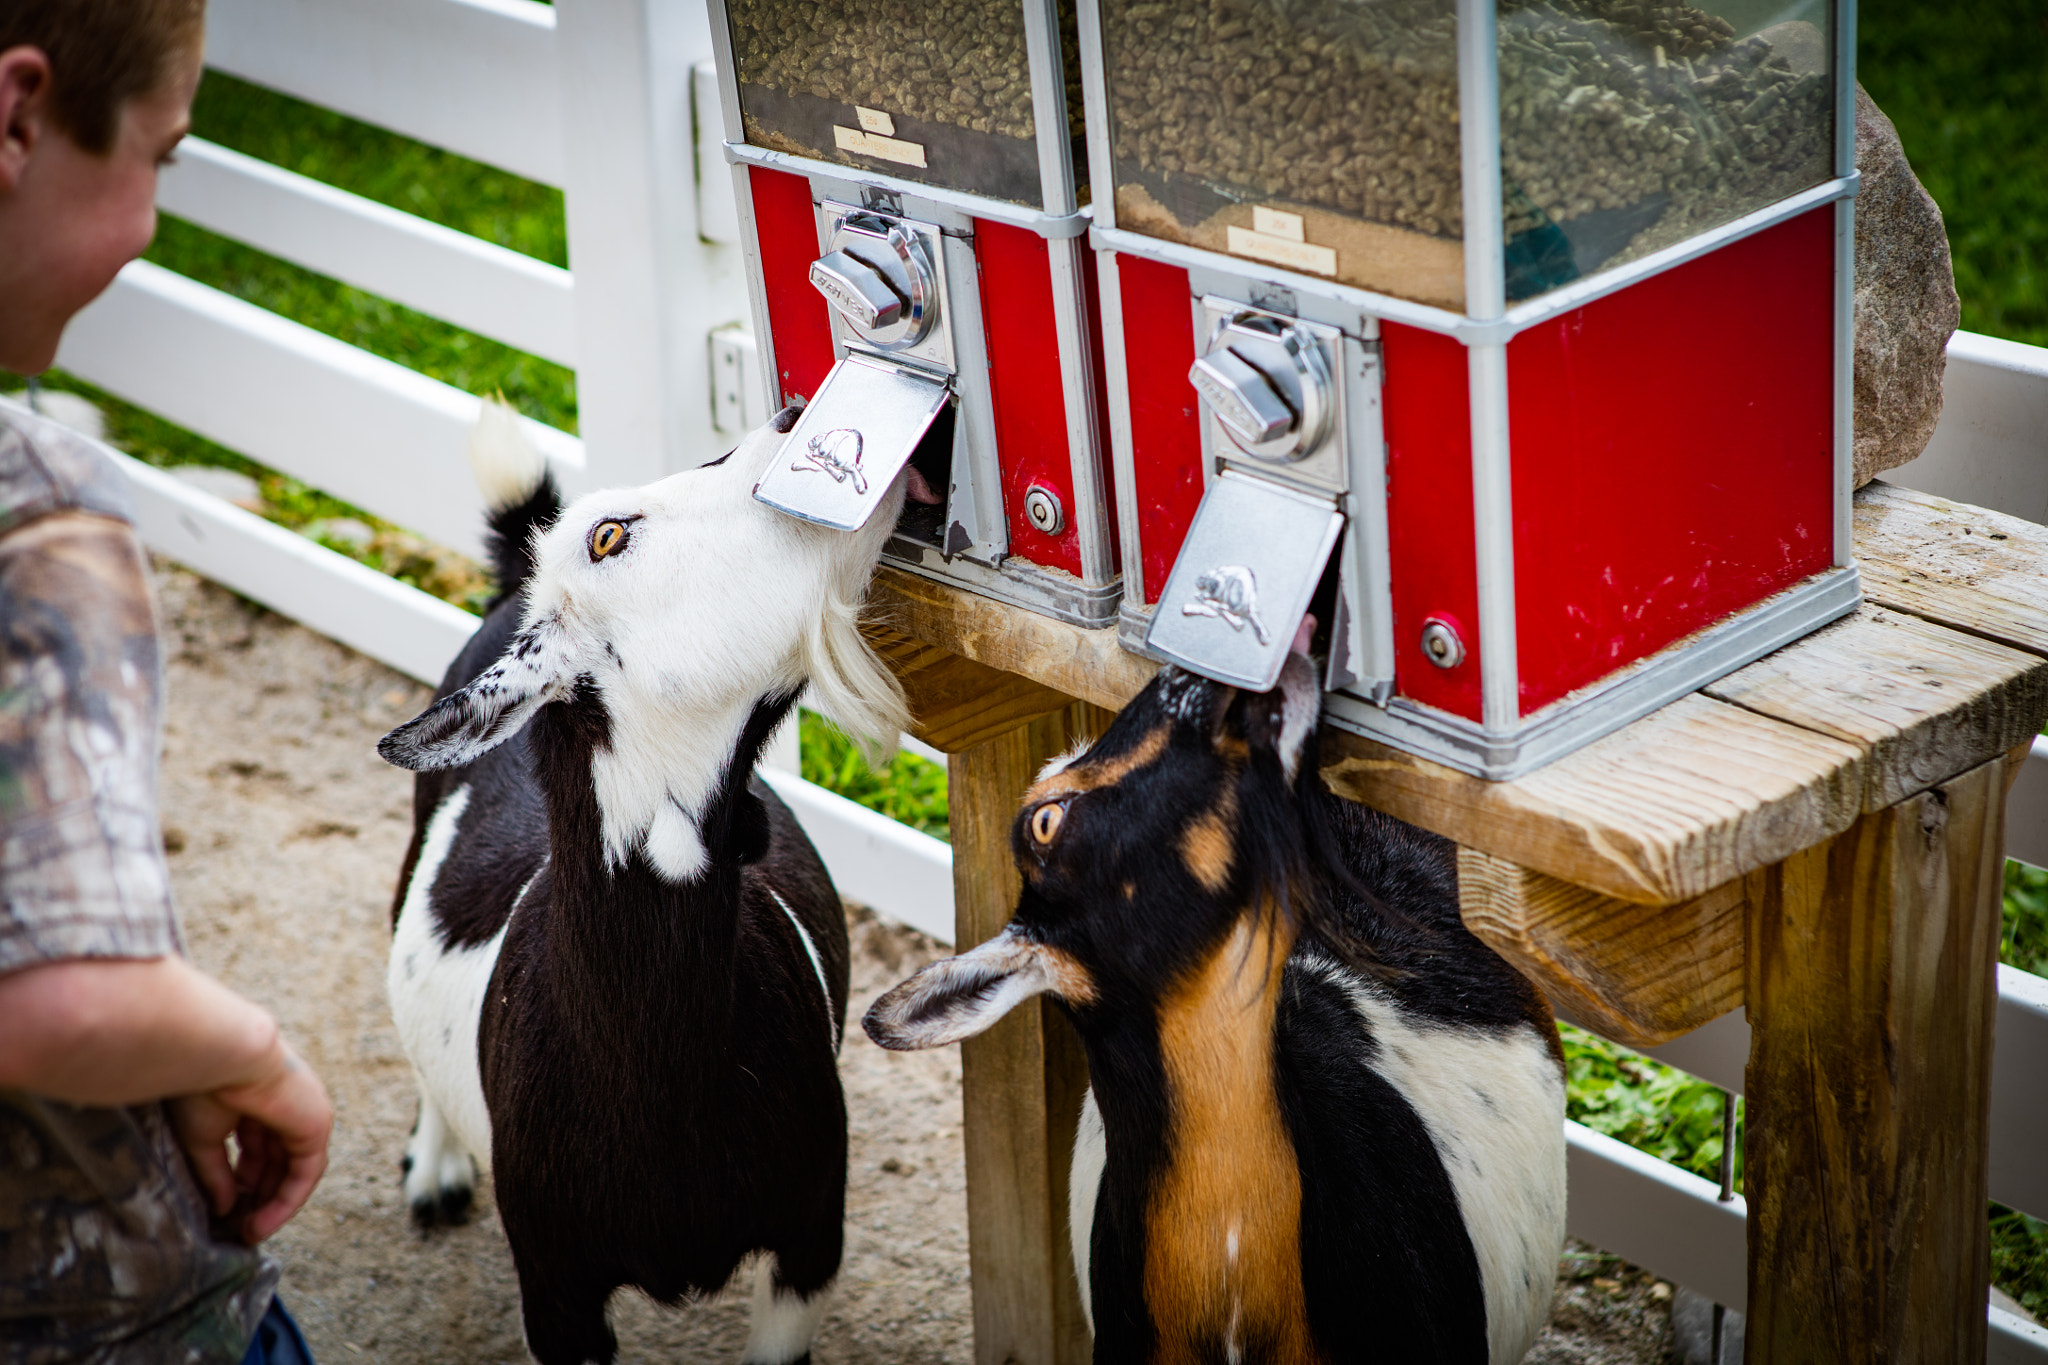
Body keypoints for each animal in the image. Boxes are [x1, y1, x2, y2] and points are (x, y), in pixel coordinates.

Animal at [378, 405, 921, 1365]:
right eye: (609, 535)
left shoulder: (811, 1235)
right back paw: (436, 1169)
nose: (793, 415)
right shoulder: (556, 1286)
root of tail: (510, 594)